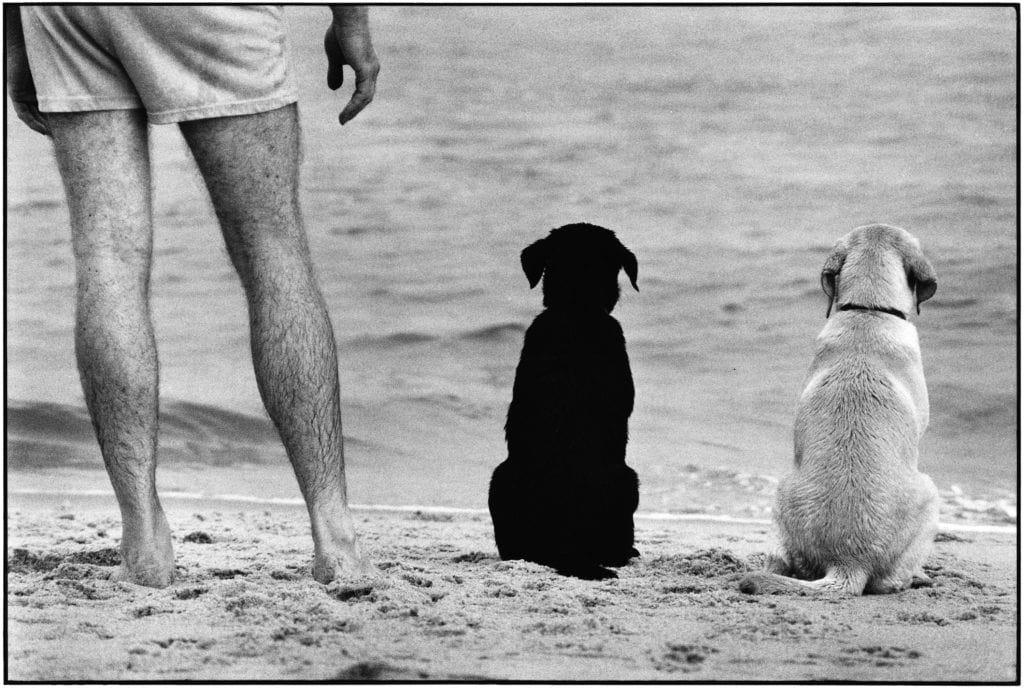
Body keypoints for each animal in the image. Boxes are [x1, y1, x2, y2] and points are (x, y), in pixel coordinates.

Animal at [741, 223, 937, 593]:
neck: (868, 309)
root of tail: (848, 563)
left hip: (780, 495)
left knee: (781, 560)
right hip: (931, 494)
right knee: (890, 581)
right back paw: (915, 578)